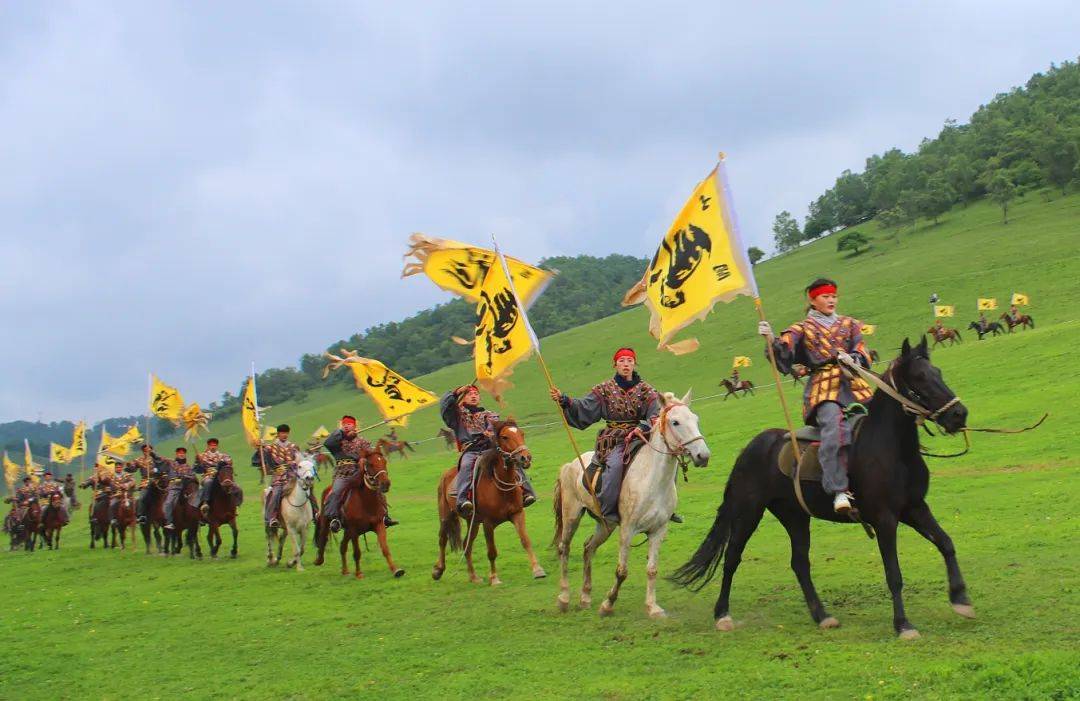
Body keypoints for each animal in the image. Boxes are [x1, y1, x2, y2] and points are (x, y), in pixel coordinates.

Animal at [317, 445, 406, 578]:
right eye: (370, 464)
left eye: (384, 462)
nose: (386, 484)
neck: (366, 502)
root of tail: (328, 489)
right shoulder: (354, 530)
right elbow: (357, 552)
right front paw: (359, 574)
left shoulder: (379, 524)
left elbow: (385, 548)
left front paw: (396, 570)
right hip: (330, 523)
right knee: (323, 537)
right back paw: (319, 560)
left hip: (347, 531)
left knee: (342, 546)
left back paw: (345, 571)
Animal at [432, 421, 548, 583]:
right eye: (505, 437)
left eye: (522, 433)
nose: (525, 458)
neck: (500, 489)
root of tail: (445, 474)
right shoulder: (488, 523)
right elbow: (492, 551)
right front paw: (494, 578)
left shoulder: (517, 514)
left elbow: (525, 541)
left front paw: (538, 570)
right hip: (446, 516)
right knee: (442, 539)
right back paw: (438, 570)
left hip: (473, 521)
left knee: (467, 545)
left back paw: (473, 577)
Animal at [557, 393, 708, 617]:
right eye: (675, 422)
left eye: (696, 420)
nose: (703, 456)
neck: (652, 481)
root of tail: (570, 465)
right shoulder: (627, 529)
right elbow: (622, 571)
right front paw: (608, 604)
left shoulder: (658, 530)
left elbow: (652, 570)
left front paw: (652, 607)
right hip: (572, 516)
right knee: (564, 549)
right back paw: (564, 598)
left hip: (605, 525)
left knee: (588, 548)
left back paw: (585, 596)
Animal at [673, 339, 972, 639]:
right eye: (919, 377)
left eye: (937, 372)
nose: (958, 414)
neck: (894, 450)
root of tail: (752, 446)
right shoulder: (885, 518)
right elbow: (894, 574)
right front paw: (903, 625)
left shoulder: (914, 508)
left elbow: (946, 543)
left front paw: (961, 599)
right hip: (748, 512)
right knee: (732, 557)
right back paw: (722, 614)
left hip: (794, 516)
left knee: (799, 563)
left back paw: (822, 615)